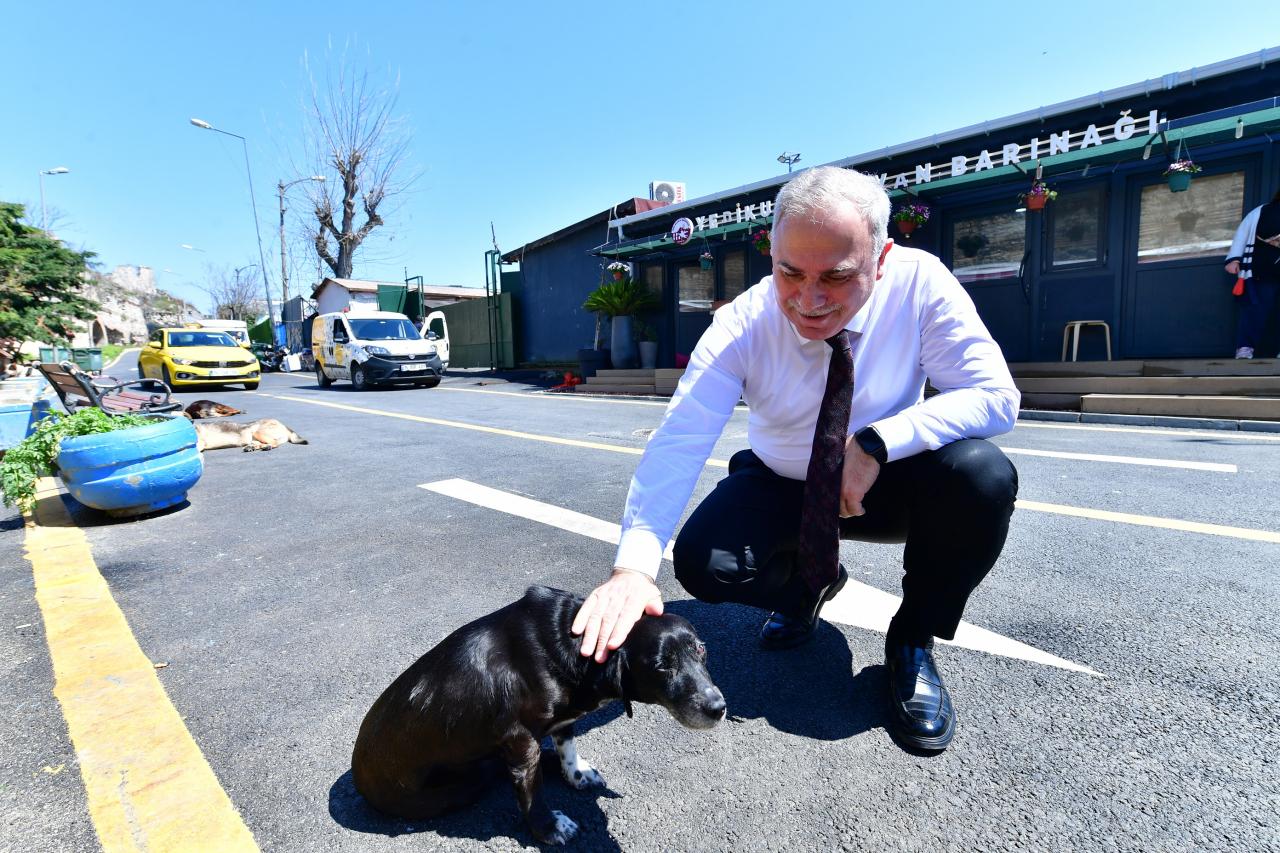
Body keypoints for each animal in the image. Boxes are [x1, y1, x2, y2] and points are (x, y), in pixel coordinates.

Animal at [355, 584, 727, 845]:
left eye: (701, 649)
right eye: (662, 667)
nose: (718, 708)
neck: (575, 645)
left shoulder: (562, 719)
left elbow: (567, 744)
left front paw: (575, 772)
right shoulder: (519, 739)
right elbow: (531, 791)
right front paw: (549, 828)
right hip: (458, 785)